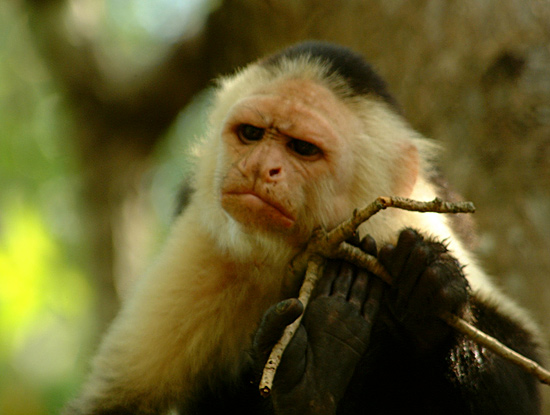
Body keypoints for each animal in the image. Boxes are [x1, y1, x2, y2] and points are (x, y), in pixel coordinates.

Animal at [63, 40, 544, 414]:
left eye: (302, 148)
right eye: (252, 135)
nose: (260, 167)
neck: (293, 255)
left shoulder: (399, 224)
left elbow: (520, 377)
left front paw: (428, 289)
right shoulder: (206, 245)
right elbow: (117, 403)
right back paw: (312, 376)